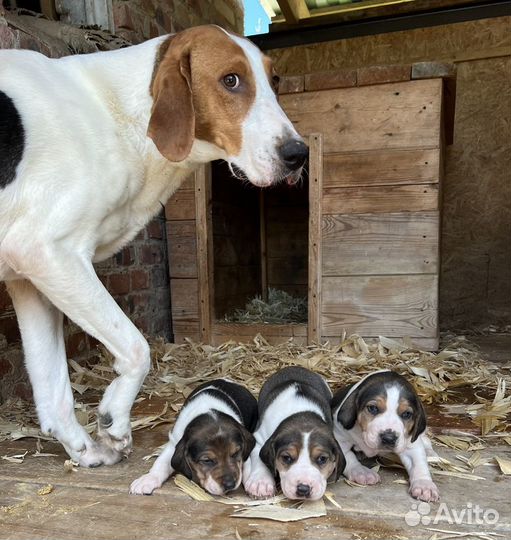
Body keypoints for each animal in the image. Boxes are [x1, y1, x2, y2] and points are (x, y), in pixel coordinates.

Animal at [0, 24, 308, 468]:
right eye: (231, 80)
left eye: (276, 80)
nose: (299, 154)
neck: (118, 115)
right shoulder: (49, 252)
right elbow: (137, 347)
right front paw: (114, 418)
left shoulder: (27, 276)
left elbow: (53, 391)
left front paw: (83, 450)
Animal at [128, 378, 256, 496]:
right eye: (207, 461)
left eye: (235, 454)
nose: (230, 485)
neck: (208, 410)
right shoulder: (175, 441)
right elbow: (161, 463)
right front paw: (147, 480)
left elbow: (248, 463)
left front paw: (255, 483)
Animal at [243, 368, 346, 502]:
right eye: (286, 457)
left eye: (322, 459)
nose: (303, 489)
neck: (301, 414)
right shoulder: (258, 438)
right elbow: (258, 458)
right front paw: (261, 483)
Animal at [332, 372, 440, 502]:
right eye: (372, 408)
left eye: (407, 414)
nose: (389, 438)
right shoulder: (340, 438)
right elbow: (349, 458)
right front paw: (361, 472)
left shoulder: (411, 445)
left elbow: (418, 463)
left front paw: (424, 485)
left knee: (426, 441)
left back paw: (430, 454)